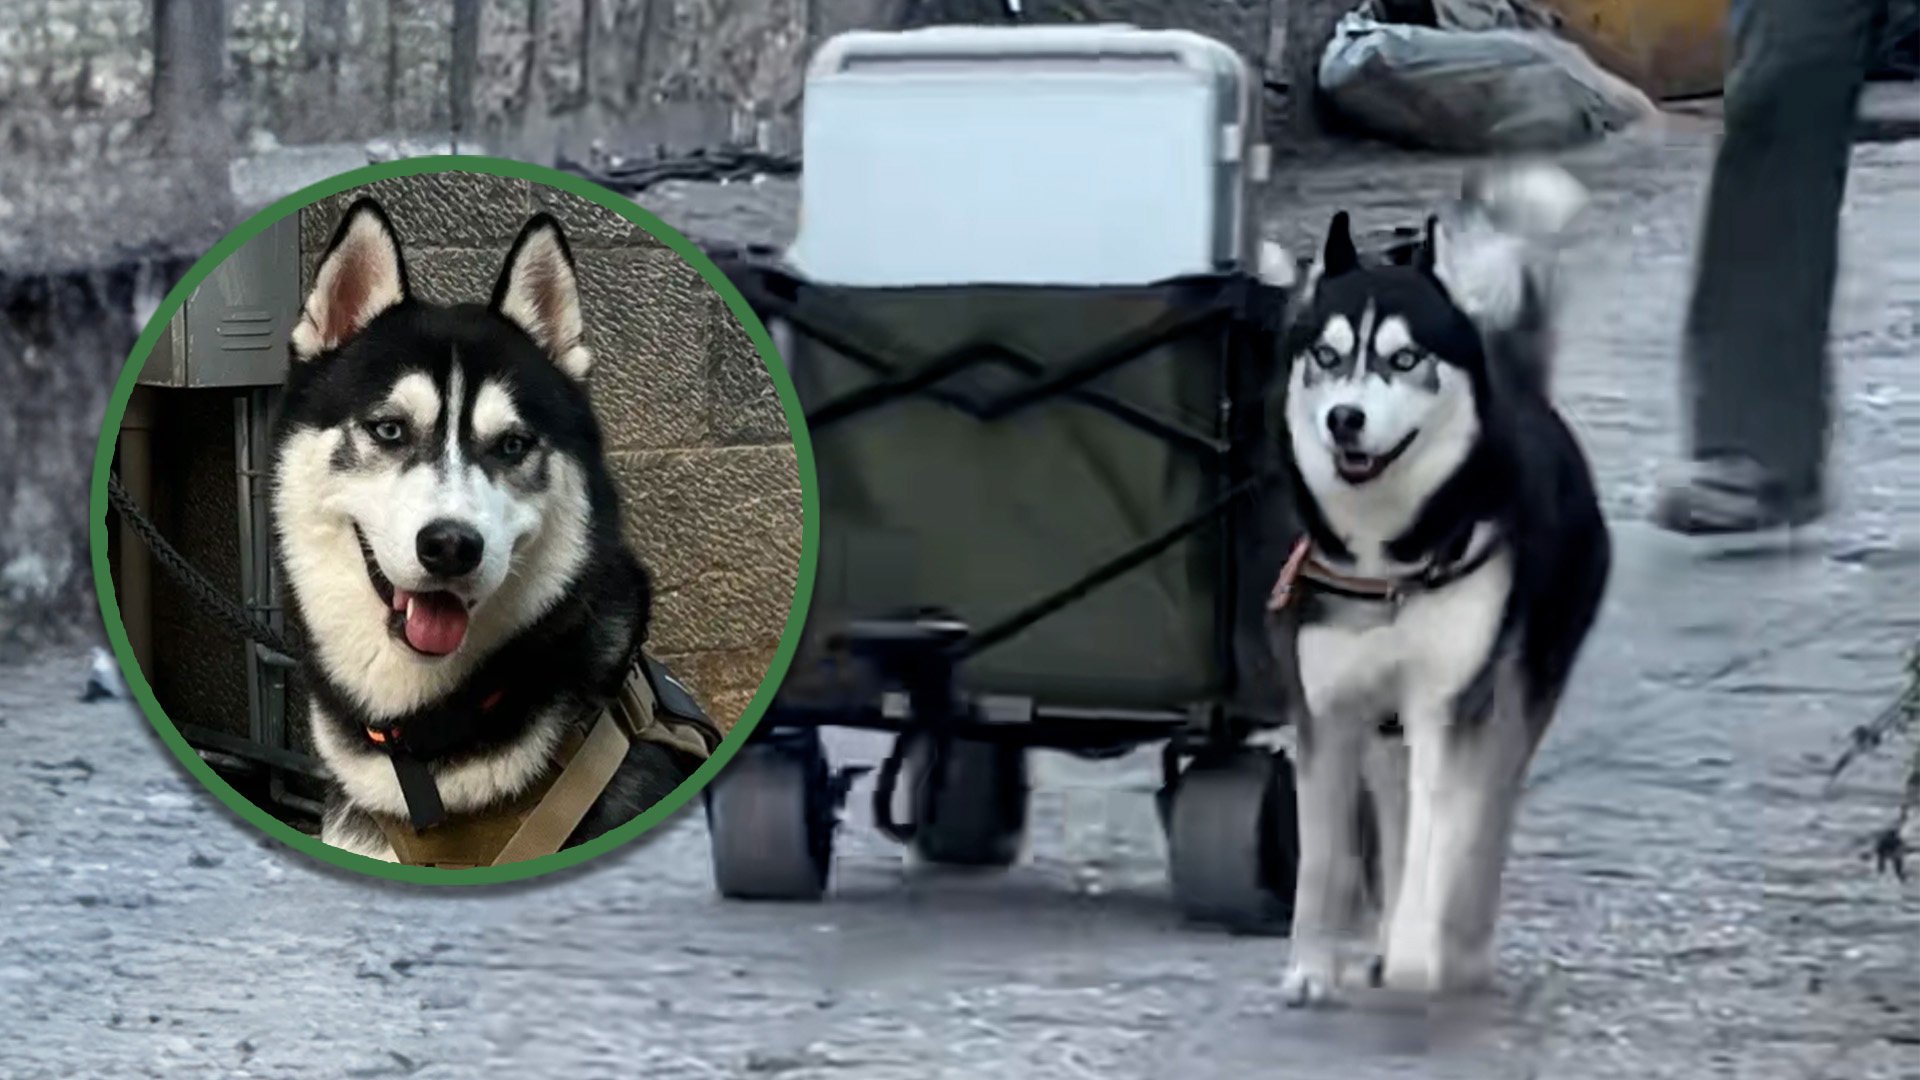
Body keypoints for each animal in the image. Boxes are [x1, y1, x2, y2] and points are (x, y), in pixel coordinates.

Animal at [1267, 166, 1612, 999]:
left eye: (1403, 360)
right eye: (1325, 356)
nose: (1345, 419)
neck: (1385, 560)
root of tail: (1527, 394)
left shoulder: (1453, 706)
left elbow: (1440, 838)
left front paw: (1420, 953)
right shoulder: (1327, 711)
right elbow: (1325, 857)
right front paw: (1309, 968)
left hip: (1517, 694)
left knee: (1485, 820)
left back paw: (1461, 948)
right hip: (1385, 727)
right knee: (1394, 809)